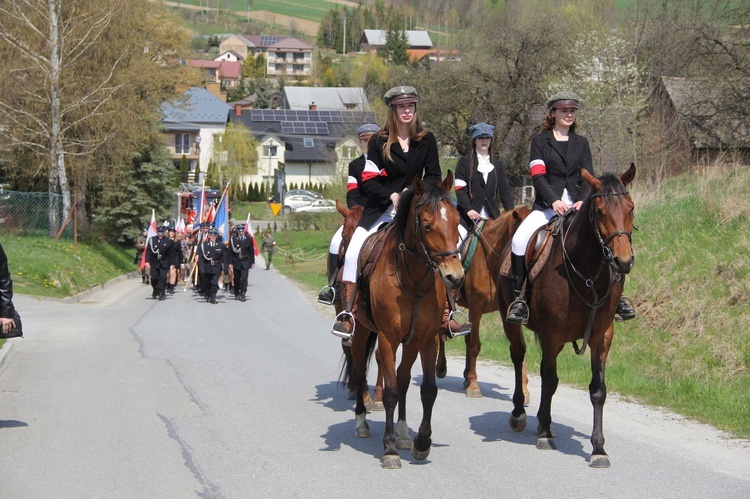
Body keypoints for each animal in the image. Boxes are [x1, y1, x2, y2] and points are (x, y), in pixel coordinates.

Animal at [344, 172, 468, 468]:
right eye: (427, 225)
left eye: (456, 222)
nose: (455, 277)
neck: (413, 279)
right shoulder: (388, 339)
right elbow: (389, 392)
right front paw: (389, 449)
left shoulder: (428, 339)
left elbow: (427, 390)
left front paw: (421, 443)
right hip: (362, 332)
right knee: (360, 370)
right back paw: (362, 422)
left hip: (410, 342)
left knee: (402, 378)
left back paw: (402, 434)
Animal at [500, 165, 636, 468]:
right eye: (600, 212)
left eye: (631, 208)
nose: (623, 261)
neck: (587, 274)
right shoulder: (552, 334)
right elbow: (550, 380)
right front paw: (544, 435)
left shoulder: (602, 336)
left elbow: (598, 390)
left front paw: (598, 449)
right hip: (511, 321)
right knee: (519, 356)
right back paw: (520, 414)